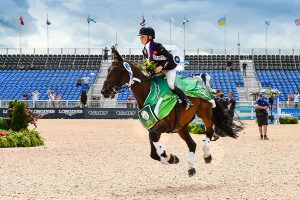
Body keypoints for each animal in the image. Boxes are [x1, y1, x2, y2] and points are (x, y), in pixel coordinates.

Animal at [101, 48, 244, 177]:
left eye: (116, 70)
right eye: (108, 70)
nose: (104, 91)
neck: (147, 93)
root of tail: (204, 84)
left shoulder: (163, 125)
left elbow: (156, 147)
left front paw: (169, 156)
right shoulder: (153, 127)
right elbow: (153, 153)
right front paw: (171, 158)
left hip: (204, 113)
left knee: (209, 130)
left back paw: (206, 154)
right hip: (181, 127)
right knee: (192, 144)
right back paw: (191, 168)